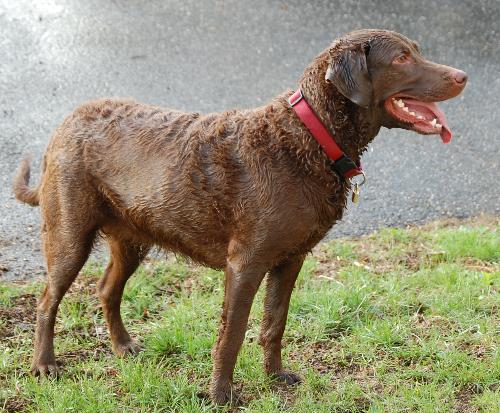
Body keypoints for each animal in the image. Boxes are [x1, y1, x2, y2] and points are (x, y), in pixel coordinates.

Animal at [12, 29, 464, 402]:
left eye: (417, 51)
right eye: (402, 58)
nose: (463, 76)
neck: (310, 136)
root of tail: (65, 122)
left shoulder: (291, 258)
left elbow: (274, 322)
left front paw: (276, 376)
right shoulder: (246, 262)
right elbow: (232, 333)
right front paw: (220, 395)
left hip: (133, 236)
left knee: (107, 288)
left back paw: (123, 346)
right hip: (68, 234)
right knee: (47, 300)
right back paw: (45, 365)